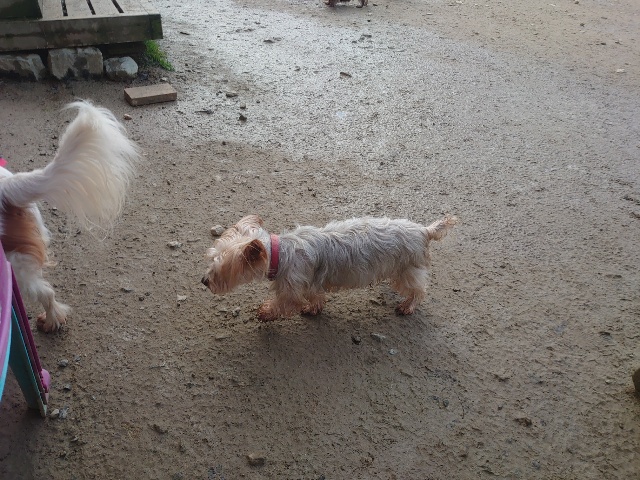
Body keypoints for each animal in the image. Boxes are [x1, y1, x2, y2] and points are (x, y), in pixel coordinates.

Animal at [201, 214, 457, 322]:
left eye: (222, 269)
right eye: (210, 259)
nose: (204, 281)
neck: (280, 254)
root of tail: (424, 230)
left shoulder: (291, 288)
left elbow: (284, 303)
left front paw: (265, 313)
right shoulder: (311, 283)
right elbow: (315, 297)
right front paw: (314, 309)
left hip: (408, 270)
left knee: (418, 291)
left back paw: (407, 306)